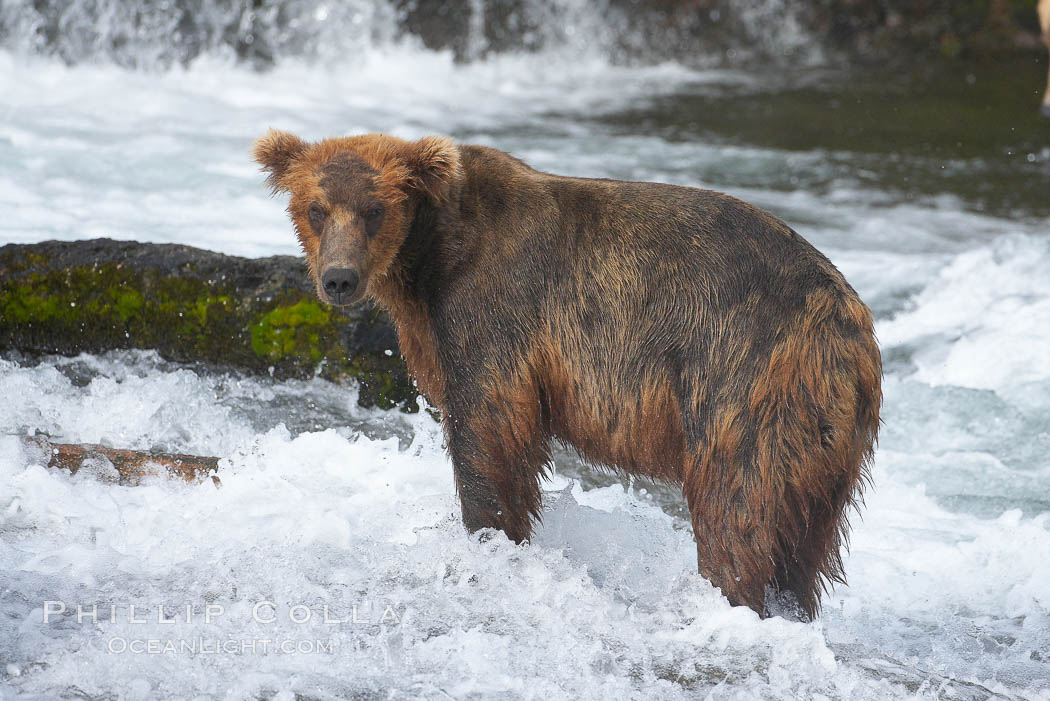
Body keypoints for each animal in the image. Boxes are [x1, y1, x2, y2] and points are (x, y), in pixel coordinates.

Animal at [256, 128, 886, 617]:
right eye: (316, 209)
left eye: (375, 209)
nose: (339, 278)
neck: (427, 262)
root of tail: (851, 325)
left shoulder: (493, 311)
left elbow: (490, 430)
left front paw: (489, 536)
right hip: (829, 435)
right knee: (807, 540)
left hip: (745, 375)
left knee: (739, 503)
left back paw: (729, 597)